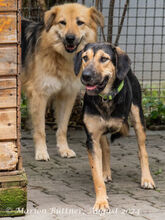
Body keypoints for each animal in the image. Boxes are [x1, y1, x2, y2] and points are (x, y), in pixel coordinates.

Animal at [20, 3, 103, 161]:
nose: (70, 38)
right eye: (62, 22)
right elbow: (40, 130)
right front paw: (41, 152)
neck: (62, 58)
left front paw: (64, 149)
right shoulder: (39, 95)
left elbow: (62, 128)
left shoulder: (67, 95)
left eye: (80, 22)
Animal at [74, 43, 155, 211]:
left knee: (142, 151)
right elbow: (96, 174)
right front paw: (101, 200)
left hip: (138, 116)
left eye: (104, 59)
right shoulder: (92, 139)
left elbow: (122, 133)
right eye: (85, 57)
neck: (105, 99)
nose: (85, 75)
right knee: (106, 148)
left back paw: (147, 179)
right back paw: (106, 172)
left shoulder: (122, 122)